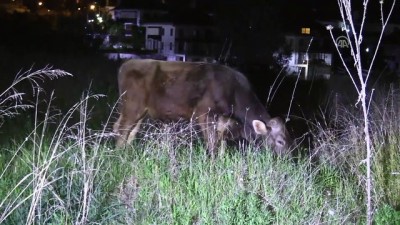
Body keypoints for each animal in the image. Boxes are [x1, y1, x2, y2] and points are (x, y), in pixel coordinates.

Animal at [112, 59, 290, 156]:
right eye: (280, 141)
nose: (288, 159)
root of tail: (127, 63)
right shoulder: (205, 115)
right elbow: (212, 145)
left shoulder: (223, 121)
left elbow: (221, 145)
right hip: (131, 108)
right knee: (122, 130)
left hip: (140, 113)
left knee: (130, 132)